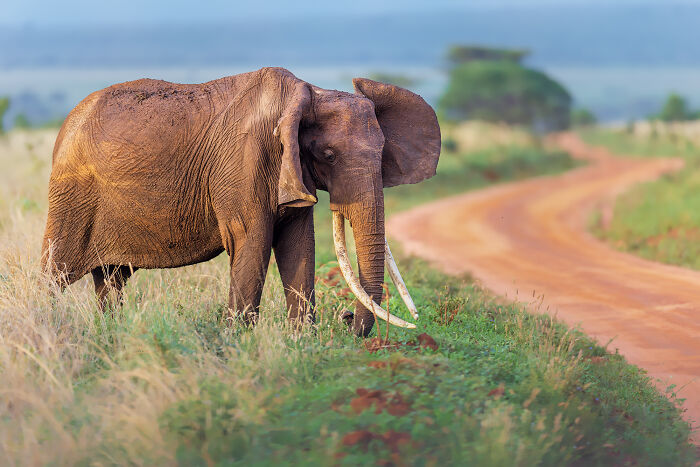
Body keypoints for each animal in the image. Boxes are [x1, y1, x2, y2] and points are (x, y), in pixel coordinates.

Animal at [41, 67, 441, 336]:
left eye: (383, 154)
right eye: (328, 155)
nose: (345, 319)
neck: (307, 95)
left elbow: (299, 245)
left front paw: (301, 342)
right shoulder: (246, 162)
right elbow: (253, 242)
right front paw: (239, 343)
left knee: (111, 279)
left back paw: (112, 334)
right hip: (71, 194)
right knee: (55, 273)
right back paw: (45, 326)